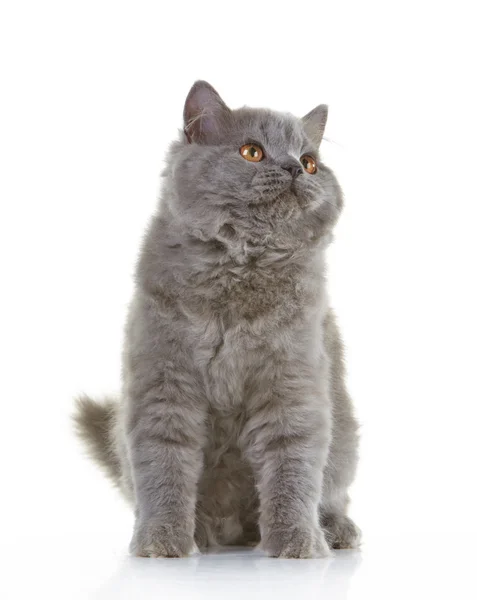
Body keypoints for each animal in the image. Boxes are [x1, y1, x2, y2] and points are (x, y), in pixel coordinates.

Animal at [73, 79, 360, 556]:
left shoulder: (292, 384)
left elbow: (293, 467)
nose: (294, 169)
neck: (239, 269)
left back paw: (335, 532)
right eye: (252, 152)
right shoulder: (164, 384)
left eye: (310, 162)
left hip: (344, 438)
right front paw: (161, 542)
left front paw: (296, 544)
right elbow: (163, 466)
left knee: (333, 491)